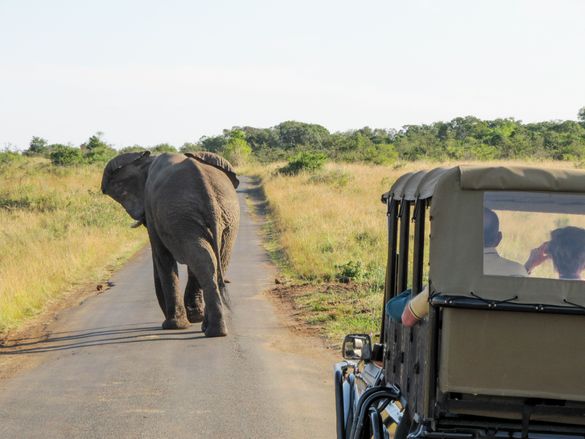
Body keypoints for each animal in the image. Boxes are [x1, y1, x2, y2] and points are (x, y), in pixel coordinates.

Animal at [101, 151, 240, 336]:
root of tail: (209, 195)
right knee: (211, 259)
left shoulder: (152, 210)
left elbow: (162, 256)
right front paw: (192, 318)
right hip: (221, 218)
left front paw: (173, 325)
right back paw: (211, 329)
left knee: (202, 259)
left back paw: (211, 330)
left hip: (185, 215)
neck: (147, 161)